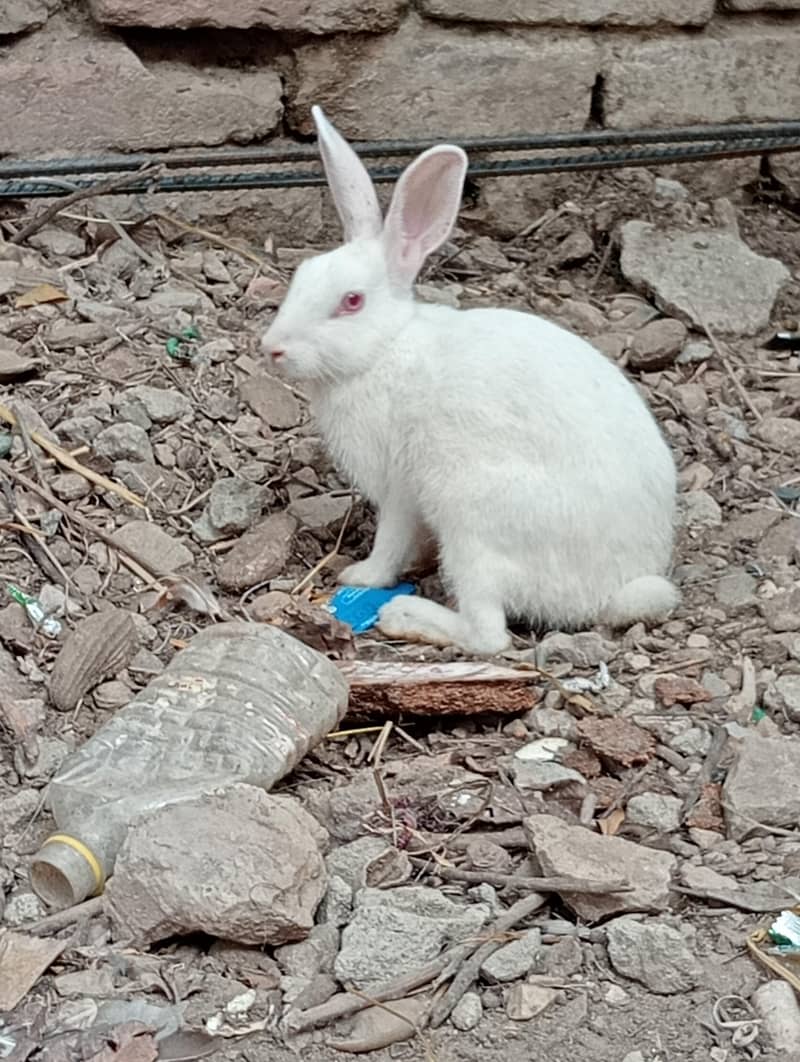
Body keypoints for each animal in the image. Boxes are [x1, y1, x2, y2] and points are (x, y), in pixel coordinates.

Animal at [261, 106, 679, 656]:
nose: (272, 348)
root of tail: (608, 593)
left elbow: (391, 541)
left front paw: (362, 575)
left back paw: (406, 615)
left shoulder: (401, 487)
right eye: (302, 275)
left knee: (489, 635)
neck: (386, 348)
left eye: (351, 301)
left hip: (473, 522)